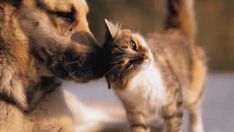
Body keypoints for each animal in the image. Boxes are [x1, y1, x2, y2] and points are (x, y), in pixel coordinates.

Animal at [103, 0, 207, 132]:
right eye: (129, 64)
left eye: (133, 45)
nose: (145, 57)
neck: (141, 79)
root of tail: (176, 31)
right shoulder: (136, 111)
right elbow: (140, 128)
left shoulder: (173, 103)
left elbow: (174, 127)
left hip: (192, 92)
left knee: (195, 110)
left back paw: (196, 128)